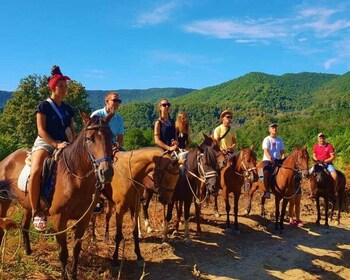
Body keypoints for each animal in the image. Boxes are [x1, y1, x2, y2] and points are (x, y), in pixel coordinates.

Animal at [0, 113, 113, 280]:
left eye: (111, 137)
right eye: (89, 139)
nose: (106, 172)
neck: (75, 178)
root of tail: (6, 160)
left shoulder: (84, 218)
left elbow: (76, 249)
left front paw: (73, 274)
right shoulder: (60, 219)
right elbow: (63, 252)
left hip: (27, 205)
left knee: (25, 226)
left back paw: (28, 252)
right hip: (4, 200)